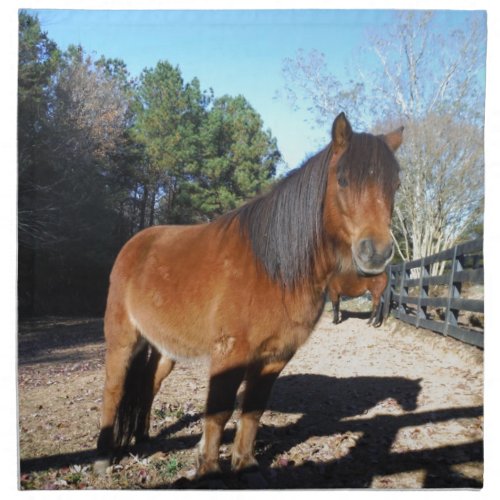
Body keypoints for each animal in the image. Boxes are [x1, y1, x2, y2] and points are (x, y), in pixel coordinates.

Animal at [95, 113, 404, 476]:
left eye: (395, 185)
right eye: (342, 179)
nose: (377, 253)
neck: (274, 268)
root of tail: (134, 245)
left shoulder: (275, 356)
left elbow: (253, 409)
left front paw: (244, 462)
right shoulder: (230, 354)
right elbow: (218, 412)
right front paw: (208, 468)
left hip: (164, 347)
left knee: (148, 385)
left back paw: (143, 439)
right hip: (123, 340)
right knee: (113, 391)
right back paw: (102, 458)